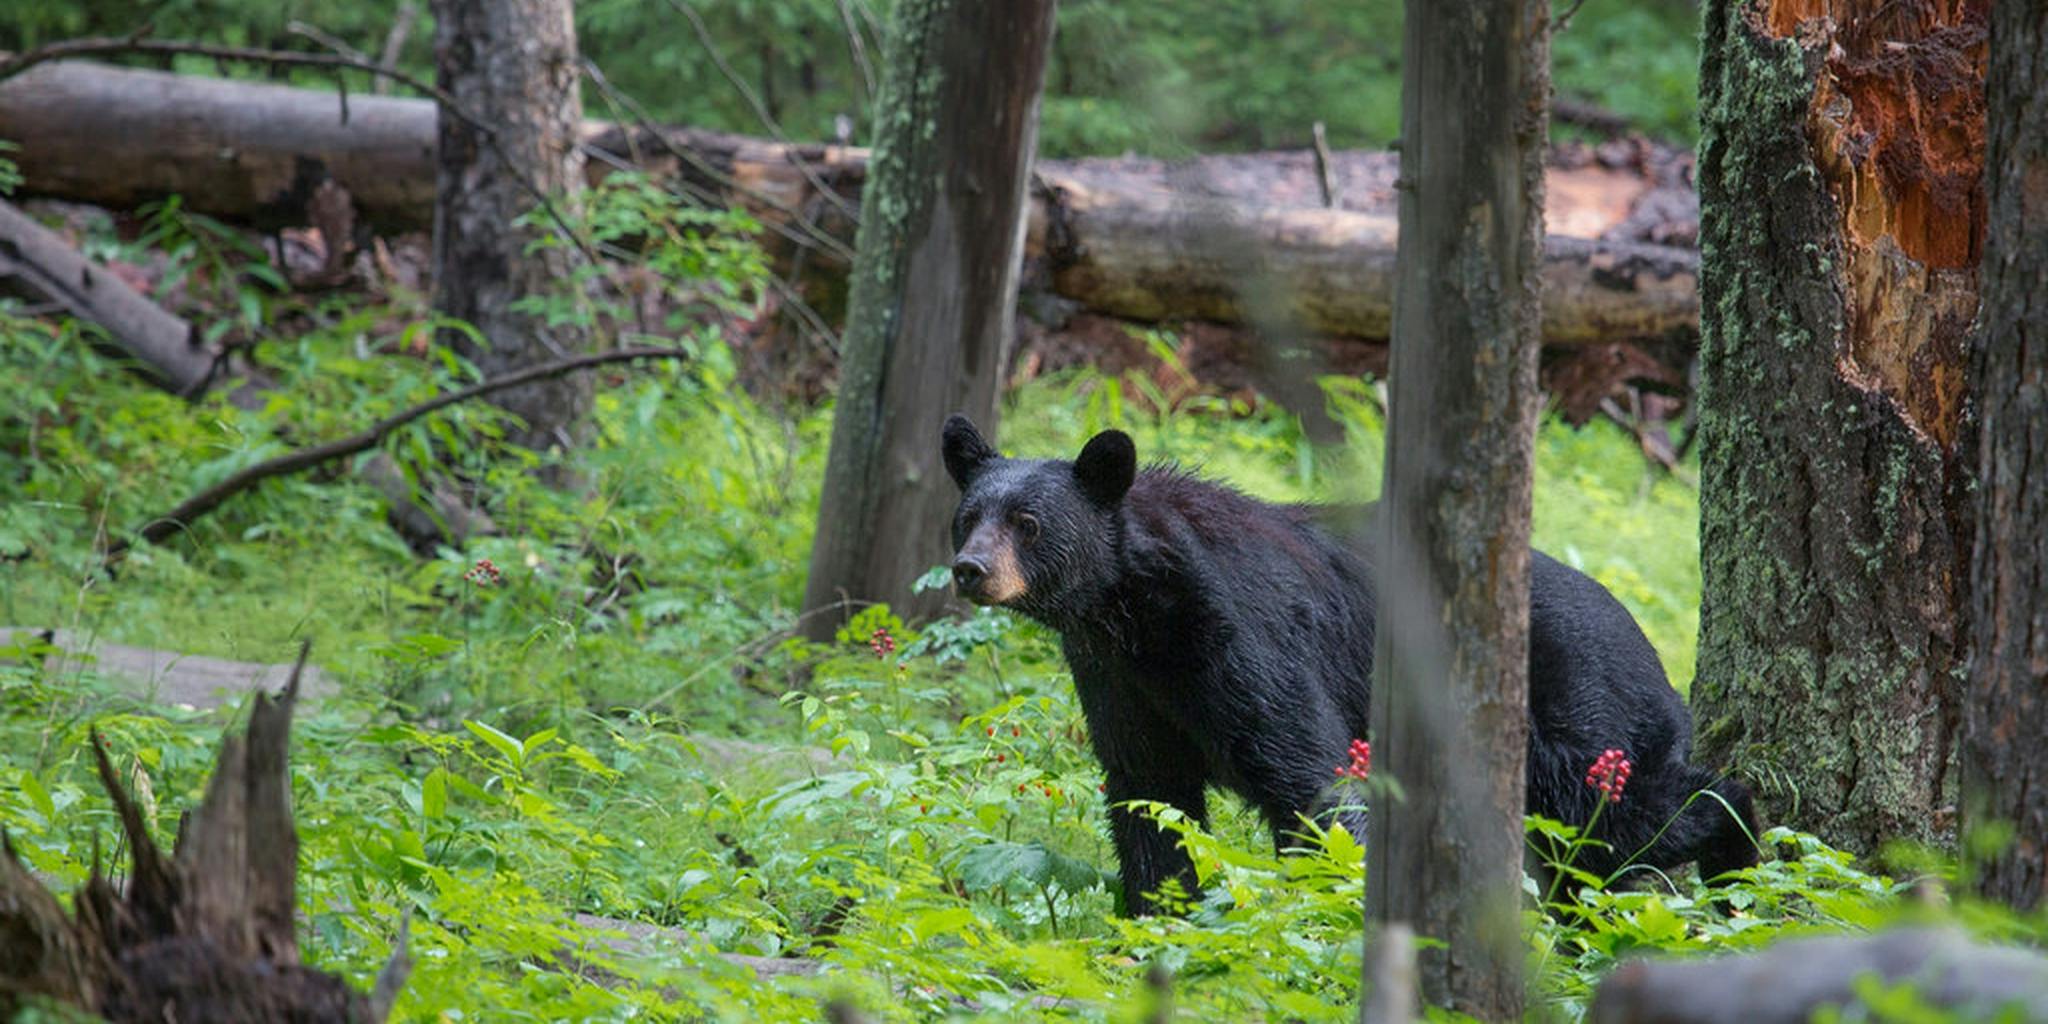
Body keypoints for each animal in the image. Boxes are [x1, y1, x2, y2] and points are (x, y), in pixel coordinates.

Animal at [942, 413, 1761, 913]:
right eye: (968, 516)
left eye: (1028, 522)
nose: (970, 570)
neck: (1138, 606)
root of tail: (1652, 653)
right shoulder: (1119, 679)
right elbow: (1149, 798)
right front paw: (1158, 918)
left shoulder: (1247, 641)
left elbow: (1312, 777)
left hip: (1580, 720)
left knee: (1628, 821)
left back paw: (1741, 860)